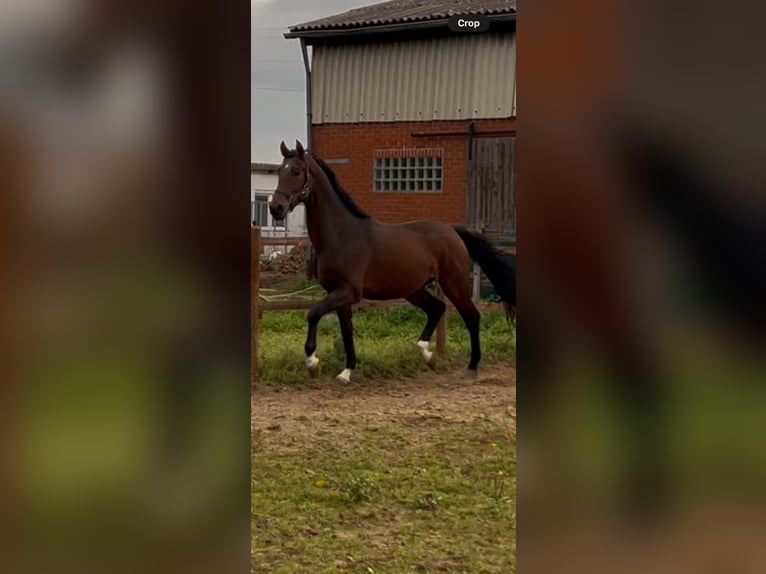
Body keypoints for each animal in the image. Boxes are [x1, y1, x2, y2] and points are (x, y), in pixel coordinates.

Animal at [266, 139, 516, 382]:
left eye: (296, 171)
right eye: (279, 170)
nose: (275, 208)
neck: (340, 235)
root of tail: (452, 232)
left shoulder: (349, 291)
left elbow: (313, 313)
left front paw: (312, 362)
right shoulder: (337, 293)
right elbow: (346, 329)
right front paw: (347, 372)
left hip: (453, 284)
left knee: (471, 316)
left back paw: (472, 367)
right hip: (413, 289)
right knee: (437, 308)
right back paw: (428, 355)